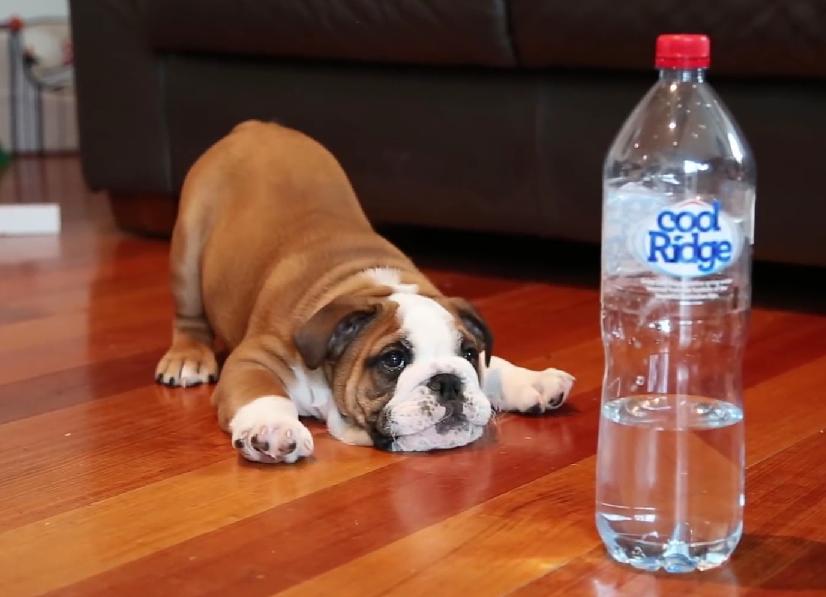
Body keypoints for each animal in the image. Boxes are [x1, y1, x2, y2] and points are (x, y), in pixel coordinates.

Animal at [156, 121, 572, 464]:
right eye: (393, 360)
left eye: (468, 353)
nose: (447, 382)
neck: (365, 285)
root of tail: (256, 126)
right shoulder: (254, 358)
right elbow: (263, 392)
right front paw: (273, 427)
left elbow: (494, 366)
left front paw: (532, 380)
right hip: (188, 245)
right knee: (189, 316)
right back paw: (188, 358)